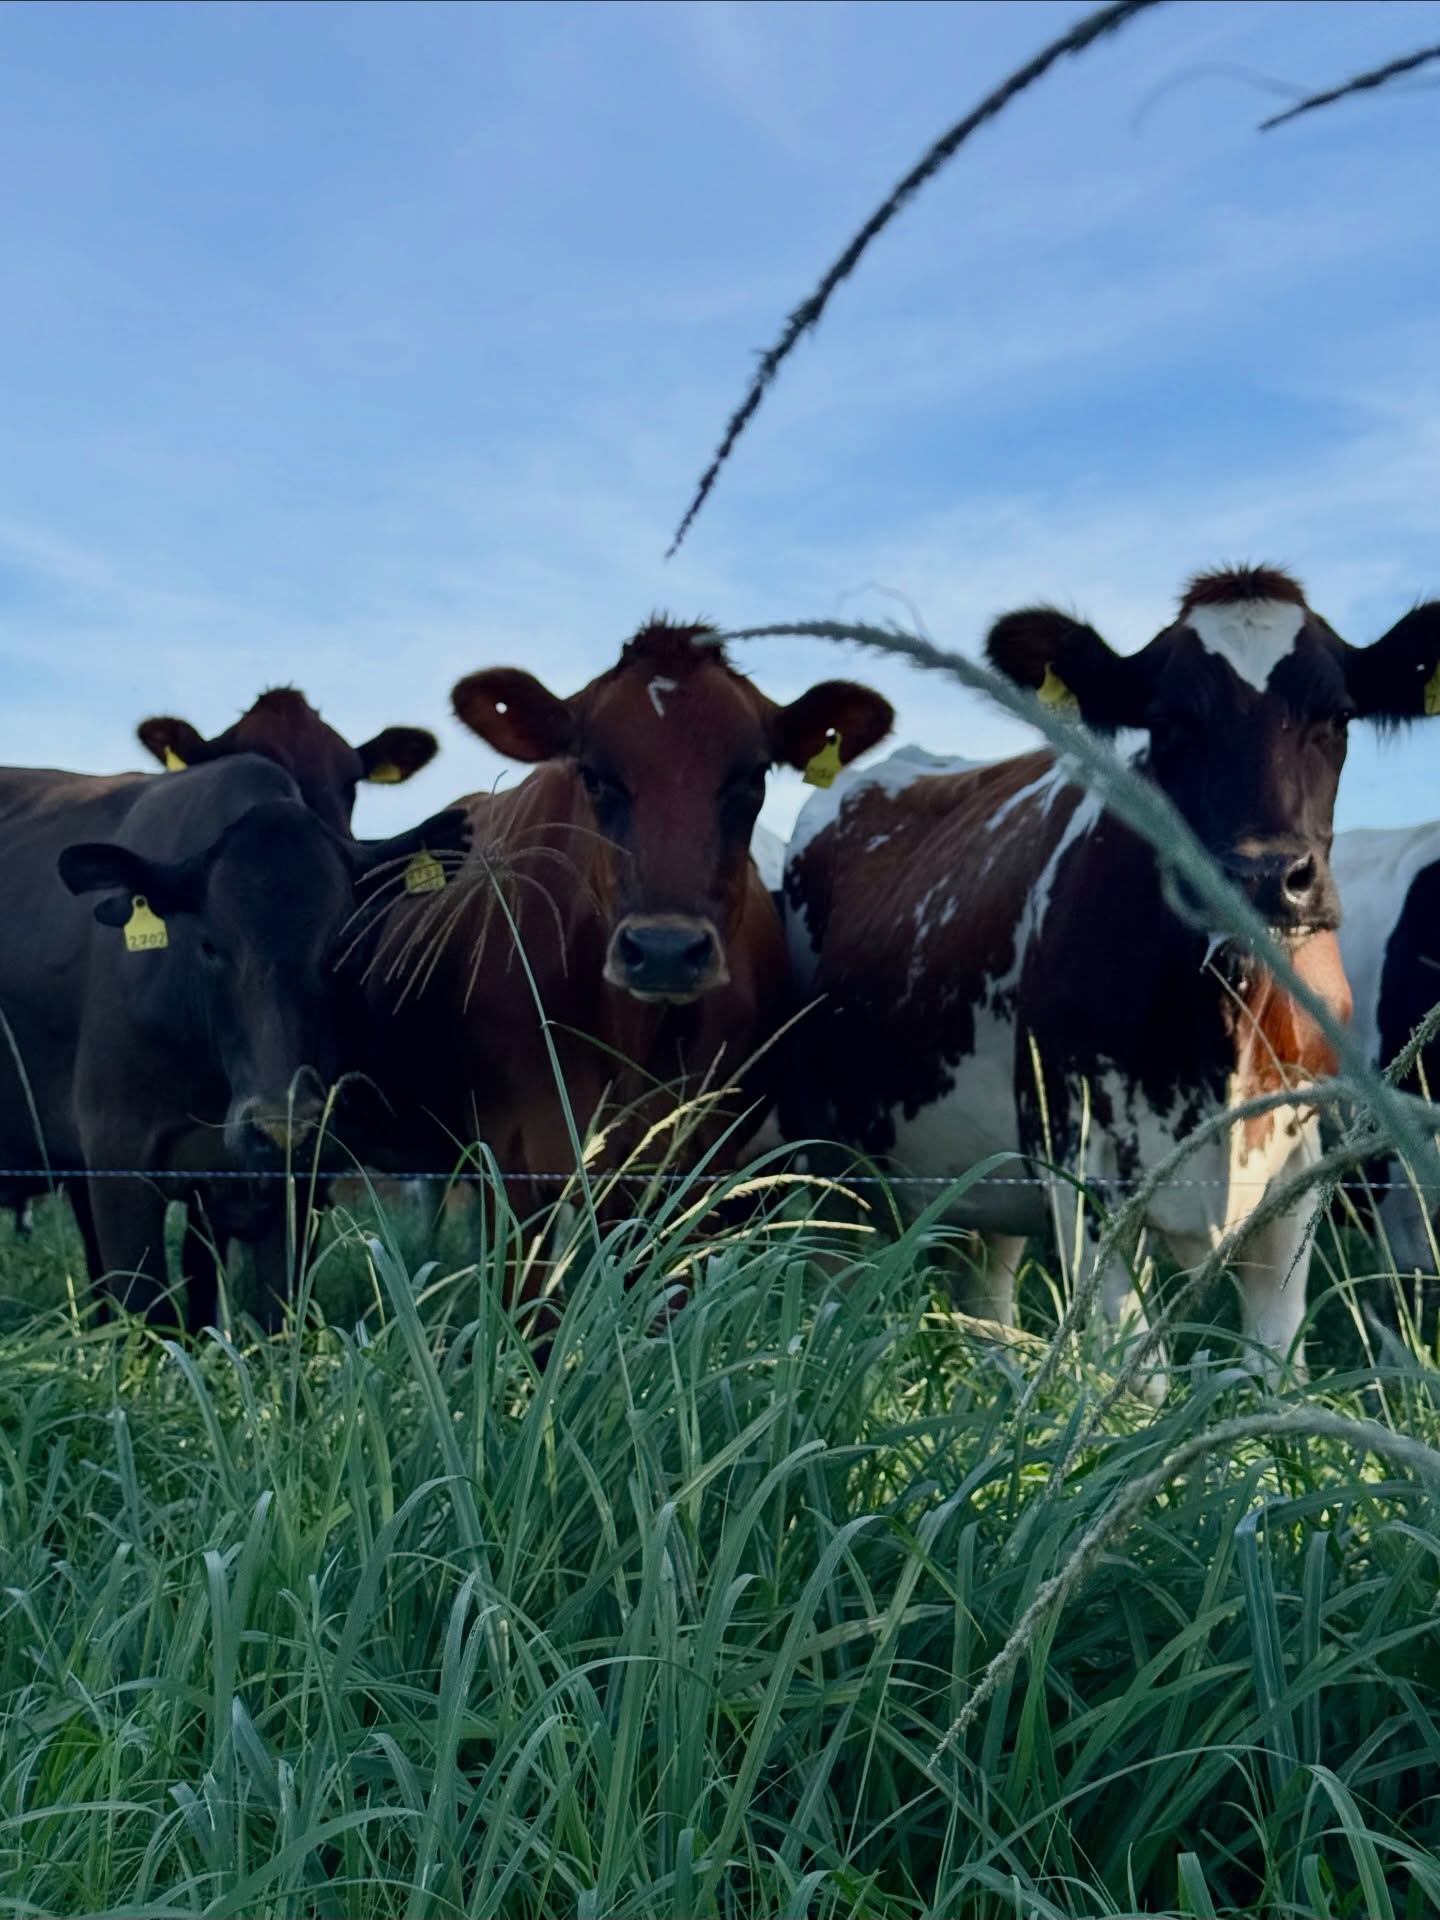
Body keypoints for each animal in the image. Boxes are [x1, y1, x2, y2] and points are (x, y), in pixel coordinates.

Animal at [0, 754, 464, 1328]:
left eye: (345, 946)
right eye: (209, 945)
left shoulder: (298, 1180)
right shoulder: (118, 1160)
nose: (280, 1128)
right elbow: (148, 1315)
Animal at [783, 566, 1440, 1386]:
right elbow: (1135, 1377)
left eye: (1339, 714)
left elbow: (1275, 1376)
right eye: (1166, 720)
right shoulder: (1085, 1174)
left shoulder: (1297, 1180)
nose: (1263, 877)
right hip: (832, 1162)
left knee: (987, 1298)